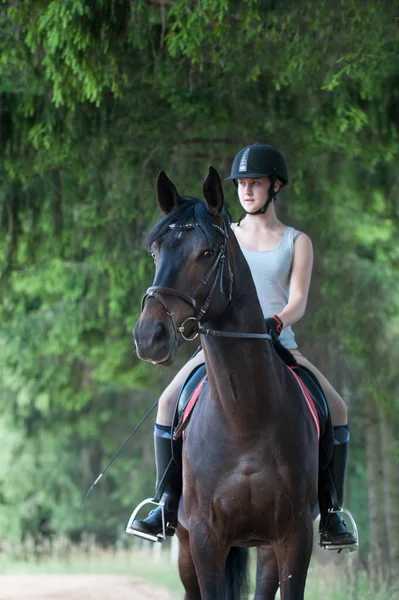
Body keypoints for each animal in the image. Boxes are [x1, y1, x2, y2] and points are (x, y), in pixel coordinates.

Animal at [134, 166, 318, 596]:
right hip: (186, 547)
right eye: (155, 252)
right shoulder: (205, 539)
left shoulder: (294, 537)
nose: (149, 336)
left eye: (206, 253)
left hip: (267, 548)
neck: (244, 418)